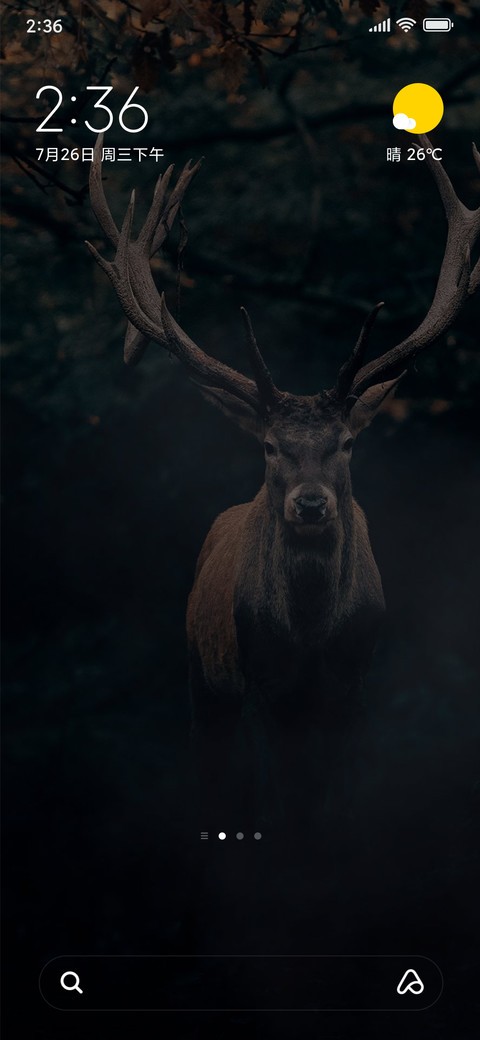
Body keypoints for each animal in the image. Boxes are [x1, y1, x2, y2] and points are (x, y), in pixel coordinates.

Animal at [86, 134, 480, 830]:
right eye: (270, 446)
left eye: (346, 443)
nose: (312, 504)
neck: (311, 638)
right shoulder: (263, 685)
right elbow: (282, 801)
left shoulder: (354, 687)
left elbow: (331, 802)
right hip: (203, 674)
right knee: (216, 772)